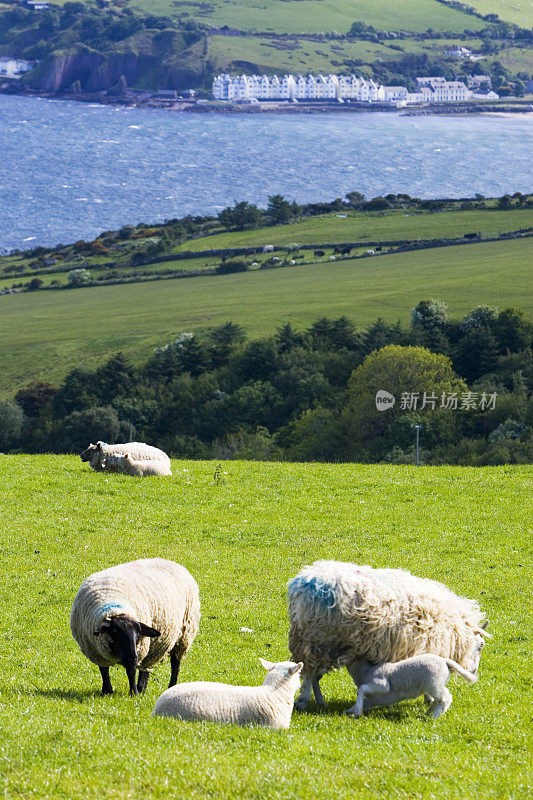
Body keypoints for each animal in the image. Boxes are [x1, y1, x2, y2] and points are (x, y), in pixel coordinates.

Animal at [70, 556, 200, 692]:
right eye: (115, 632)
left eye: (138, 633)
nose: (133, 657)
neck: (114, 609)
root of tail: (172, 562)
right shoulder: (98, 652)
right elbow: (104, 670)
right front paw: (107, 691)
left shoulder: (136, 650)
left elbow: (131, 671)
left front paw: (134, 692)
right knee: (146, 666)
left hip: (184, 635)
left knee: (175, 664)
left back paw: (165, 686)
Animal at [288, 560, 488, 708]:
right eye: (481, 645)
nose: (473, 671)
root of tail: (304, 583)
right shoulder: (425, 648)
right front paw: (429, 698)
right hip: (318, 640)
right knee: (309, 672)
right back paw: (304, 700)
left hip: (320, 644)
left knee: (314, 675)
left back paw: (320, 701)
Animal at [348, 652, 476, 720]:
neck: (366, 671)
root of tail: (444, 661)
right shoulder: (374, 698)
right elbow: (363, 699)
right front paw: (351, 711)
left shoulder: (381, 685)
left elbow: (362, 689)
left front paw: (356, 711)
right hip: (436, 684)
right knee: (439, 699)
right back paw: (429, 712)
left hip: (434, 683)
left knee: (445, 698)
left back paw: (435, 716)